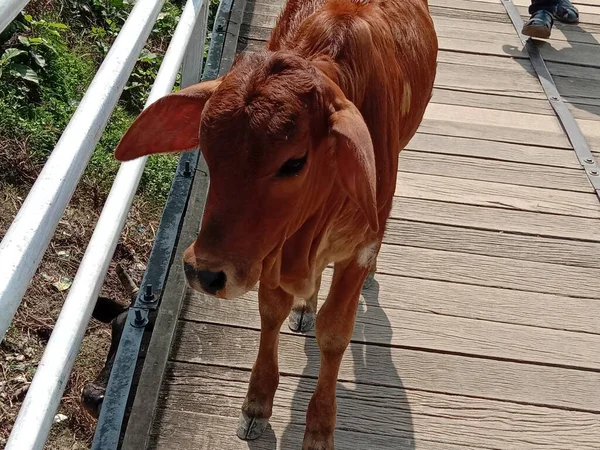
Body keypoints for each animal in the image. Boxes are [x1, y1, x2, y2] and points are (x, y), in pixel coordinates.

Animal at [115, 0, 438, 446]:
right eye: (207, 146)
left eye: (294, 162)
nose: (205, 273)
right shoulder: (269, 249)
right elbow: (271, 312)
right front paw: (256, 402)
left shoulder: (358, 247)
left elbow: (335, 333)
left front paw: (319, 427)